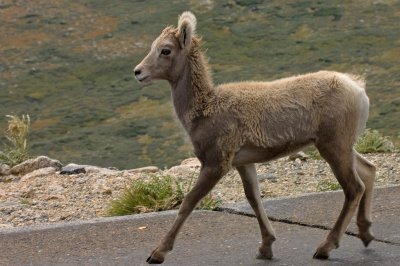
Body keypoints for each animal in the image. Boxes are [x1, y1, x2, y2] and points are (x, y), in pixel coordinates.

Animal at [134, 10, 376, 264]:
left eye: (165, 50)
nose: (138, 72)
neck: (204, 109)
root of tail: (358, 90)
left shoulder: (215, 164)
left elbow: (188, 202)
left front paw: (157, 254)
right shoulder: (244, 163)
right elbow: (254, 199)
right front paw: (265, 248)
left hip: (334, 147)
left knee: (354, 188)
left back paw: (324, 248)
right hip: (341, 146)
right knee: (369, 171)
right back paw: (366, 235)